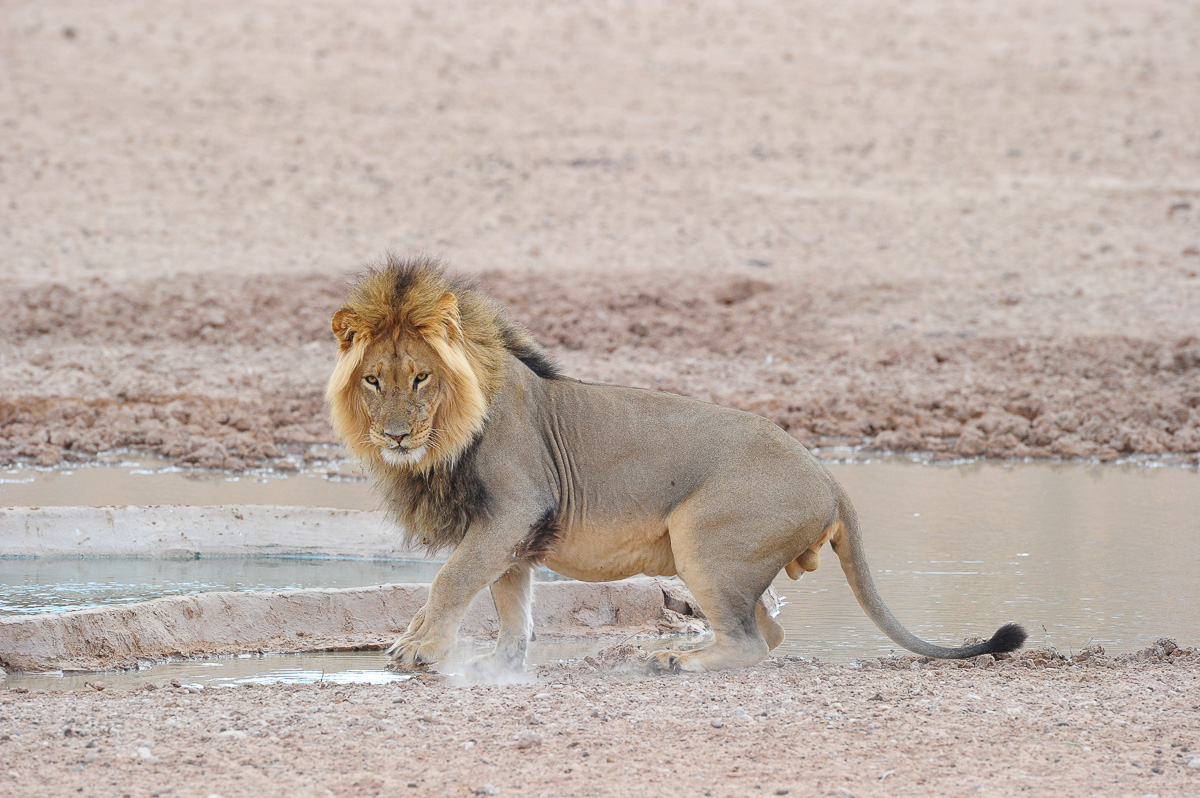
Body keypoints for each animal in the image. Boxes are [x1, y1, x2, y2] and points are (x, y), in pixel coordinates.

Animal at [326, 254, 1027, 673]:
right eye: (373, 380)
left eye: (420, 378)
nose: (394, 435)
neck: (444, 439)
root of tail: (829, 476)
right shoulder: (517, 532)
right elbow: (509, 608)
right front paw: (494, 666)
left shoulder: (515, 508)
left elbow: (450, 581)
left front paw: (418, 649)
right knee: (767, 635)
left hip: (703, 541)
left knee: (751, 644)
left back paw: (672, 660)